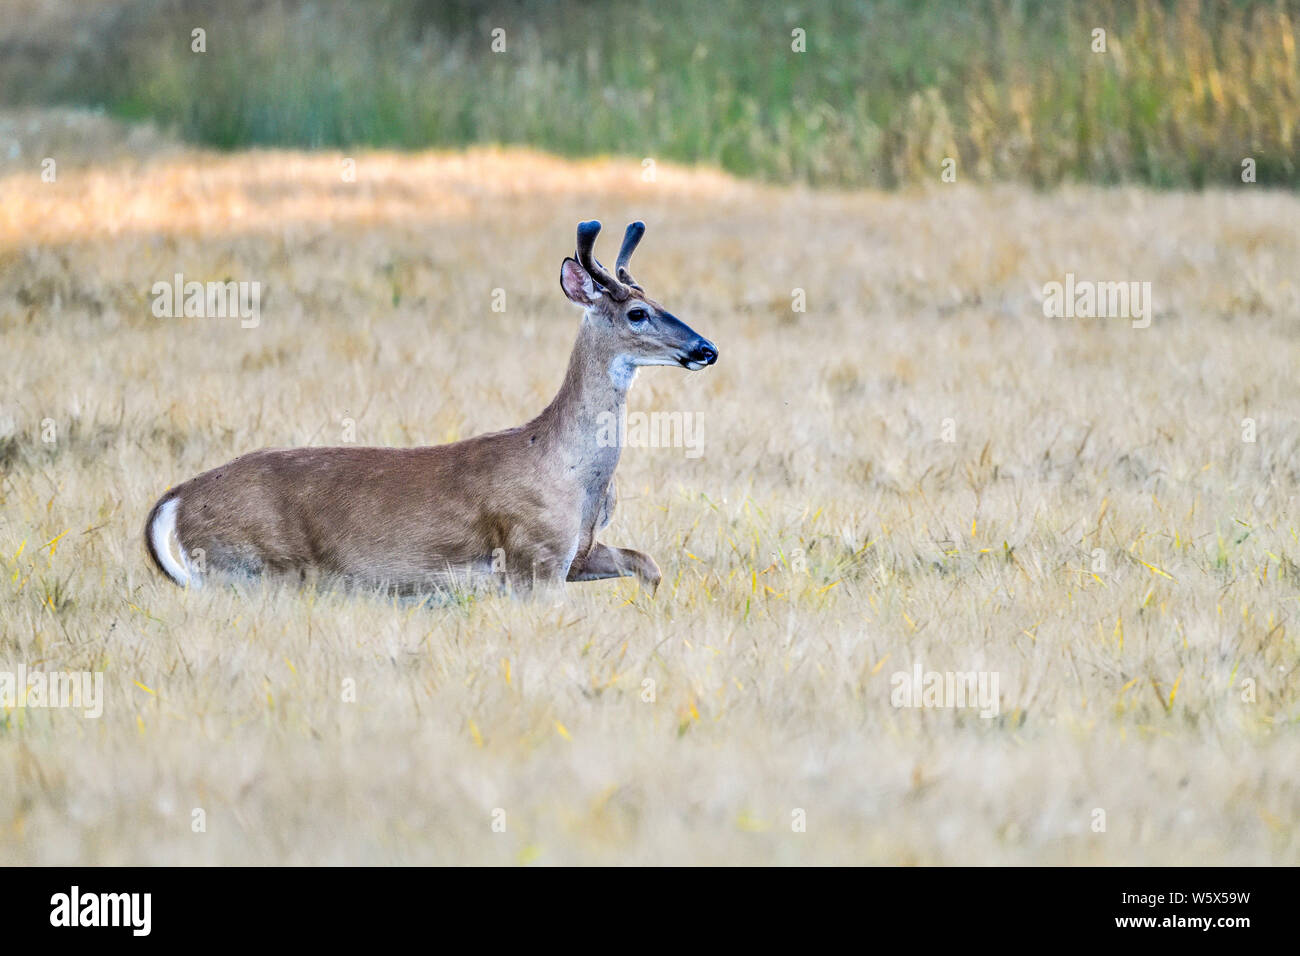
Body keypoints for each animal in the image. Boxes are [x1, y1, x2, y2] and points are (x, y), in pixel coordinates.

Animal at [144, 220, 718, 597]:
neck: (569, 472)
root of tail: (173, 501)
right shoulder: (532, 558)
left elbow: (649, 565)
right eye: (638, 312)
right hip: (252, 569)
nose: (705, 348)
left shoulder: (575, 554)